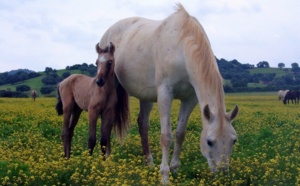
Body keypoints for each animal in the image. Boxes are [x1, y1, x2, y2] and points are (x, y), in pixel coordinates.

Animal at [99, 3, 238, 184]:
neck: (181, 48)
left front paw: (175, 168)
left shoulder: (190, 99)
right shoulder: (165, 94)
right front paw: (165, 175)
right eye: (209, 142)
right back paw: (106, 159)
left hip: (146, 96)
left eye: (233, 140)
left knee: (143, 124)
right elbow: (166, 136)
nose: (222, 176)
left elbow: (180, 134)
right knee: (107, 121)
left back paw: (149, 163)